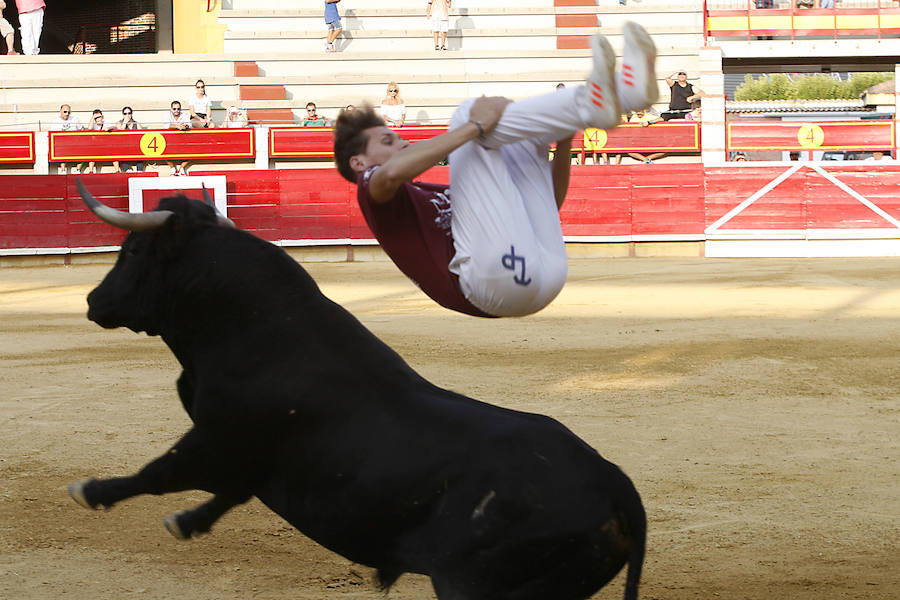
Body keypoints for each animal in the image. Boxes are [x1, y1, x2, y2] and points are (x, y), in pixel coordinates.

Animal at [70, 182, 648, 600]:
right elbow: (228, 490)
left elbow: (159, 473)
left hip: (474, 587)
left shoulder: (217, 437)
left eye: (133, 249)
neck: (252, 324)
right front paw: (187, 522)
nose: (94, 301)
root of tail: (615, 484)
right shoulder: (245, 456)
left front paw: (94, 491)